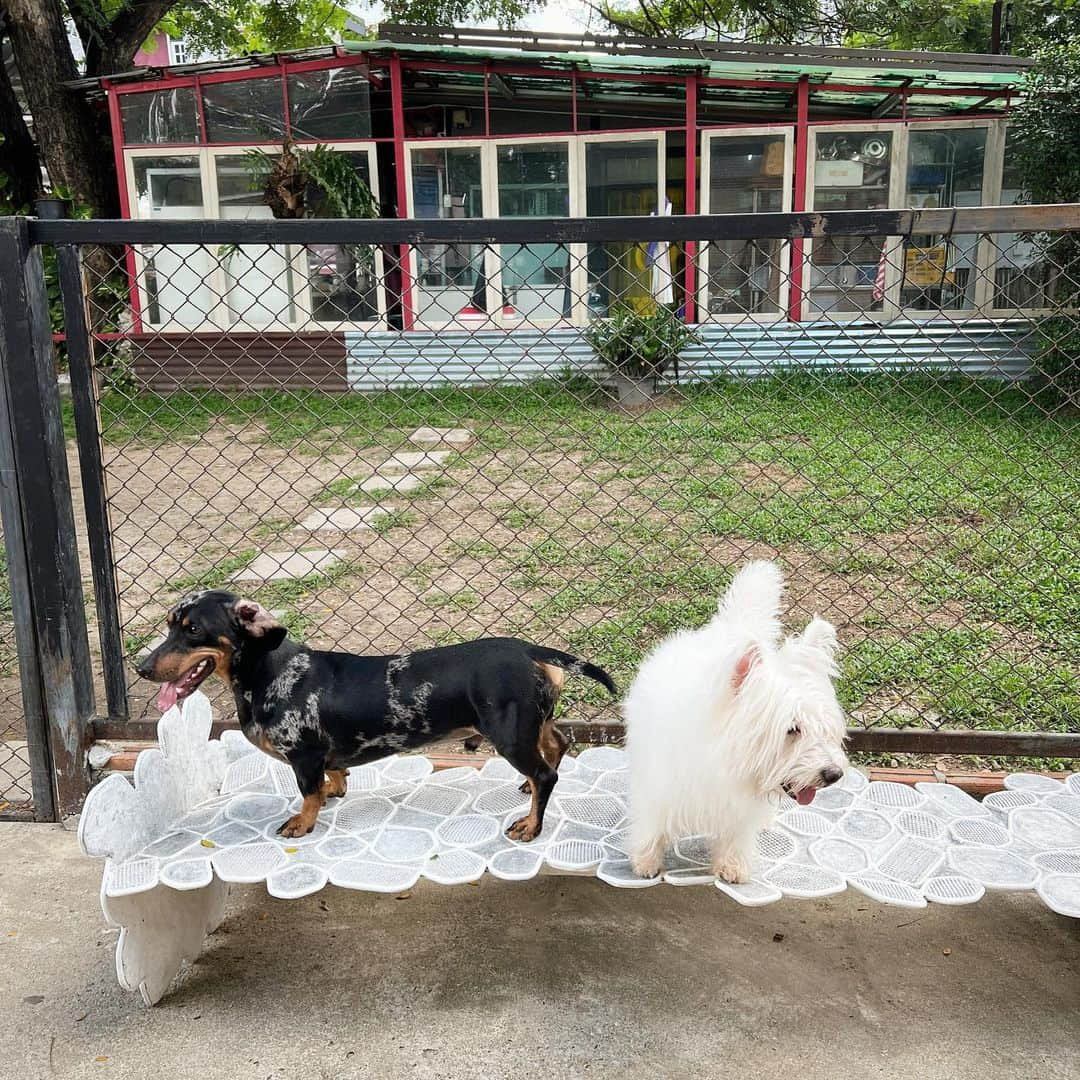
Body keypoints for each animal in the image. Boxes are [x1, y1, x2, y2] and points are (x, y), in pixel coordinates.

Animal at [626, 561, 851, 881]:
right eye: (792, 729)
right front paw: (646, 861)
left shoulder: (740, 809)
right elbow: (652, 823)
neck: (723, 755)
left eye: (826, 730)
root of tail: (732, 629)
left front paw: (732, 866)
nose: (834, 774)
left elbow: (736, 834)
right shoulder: (661, 784)